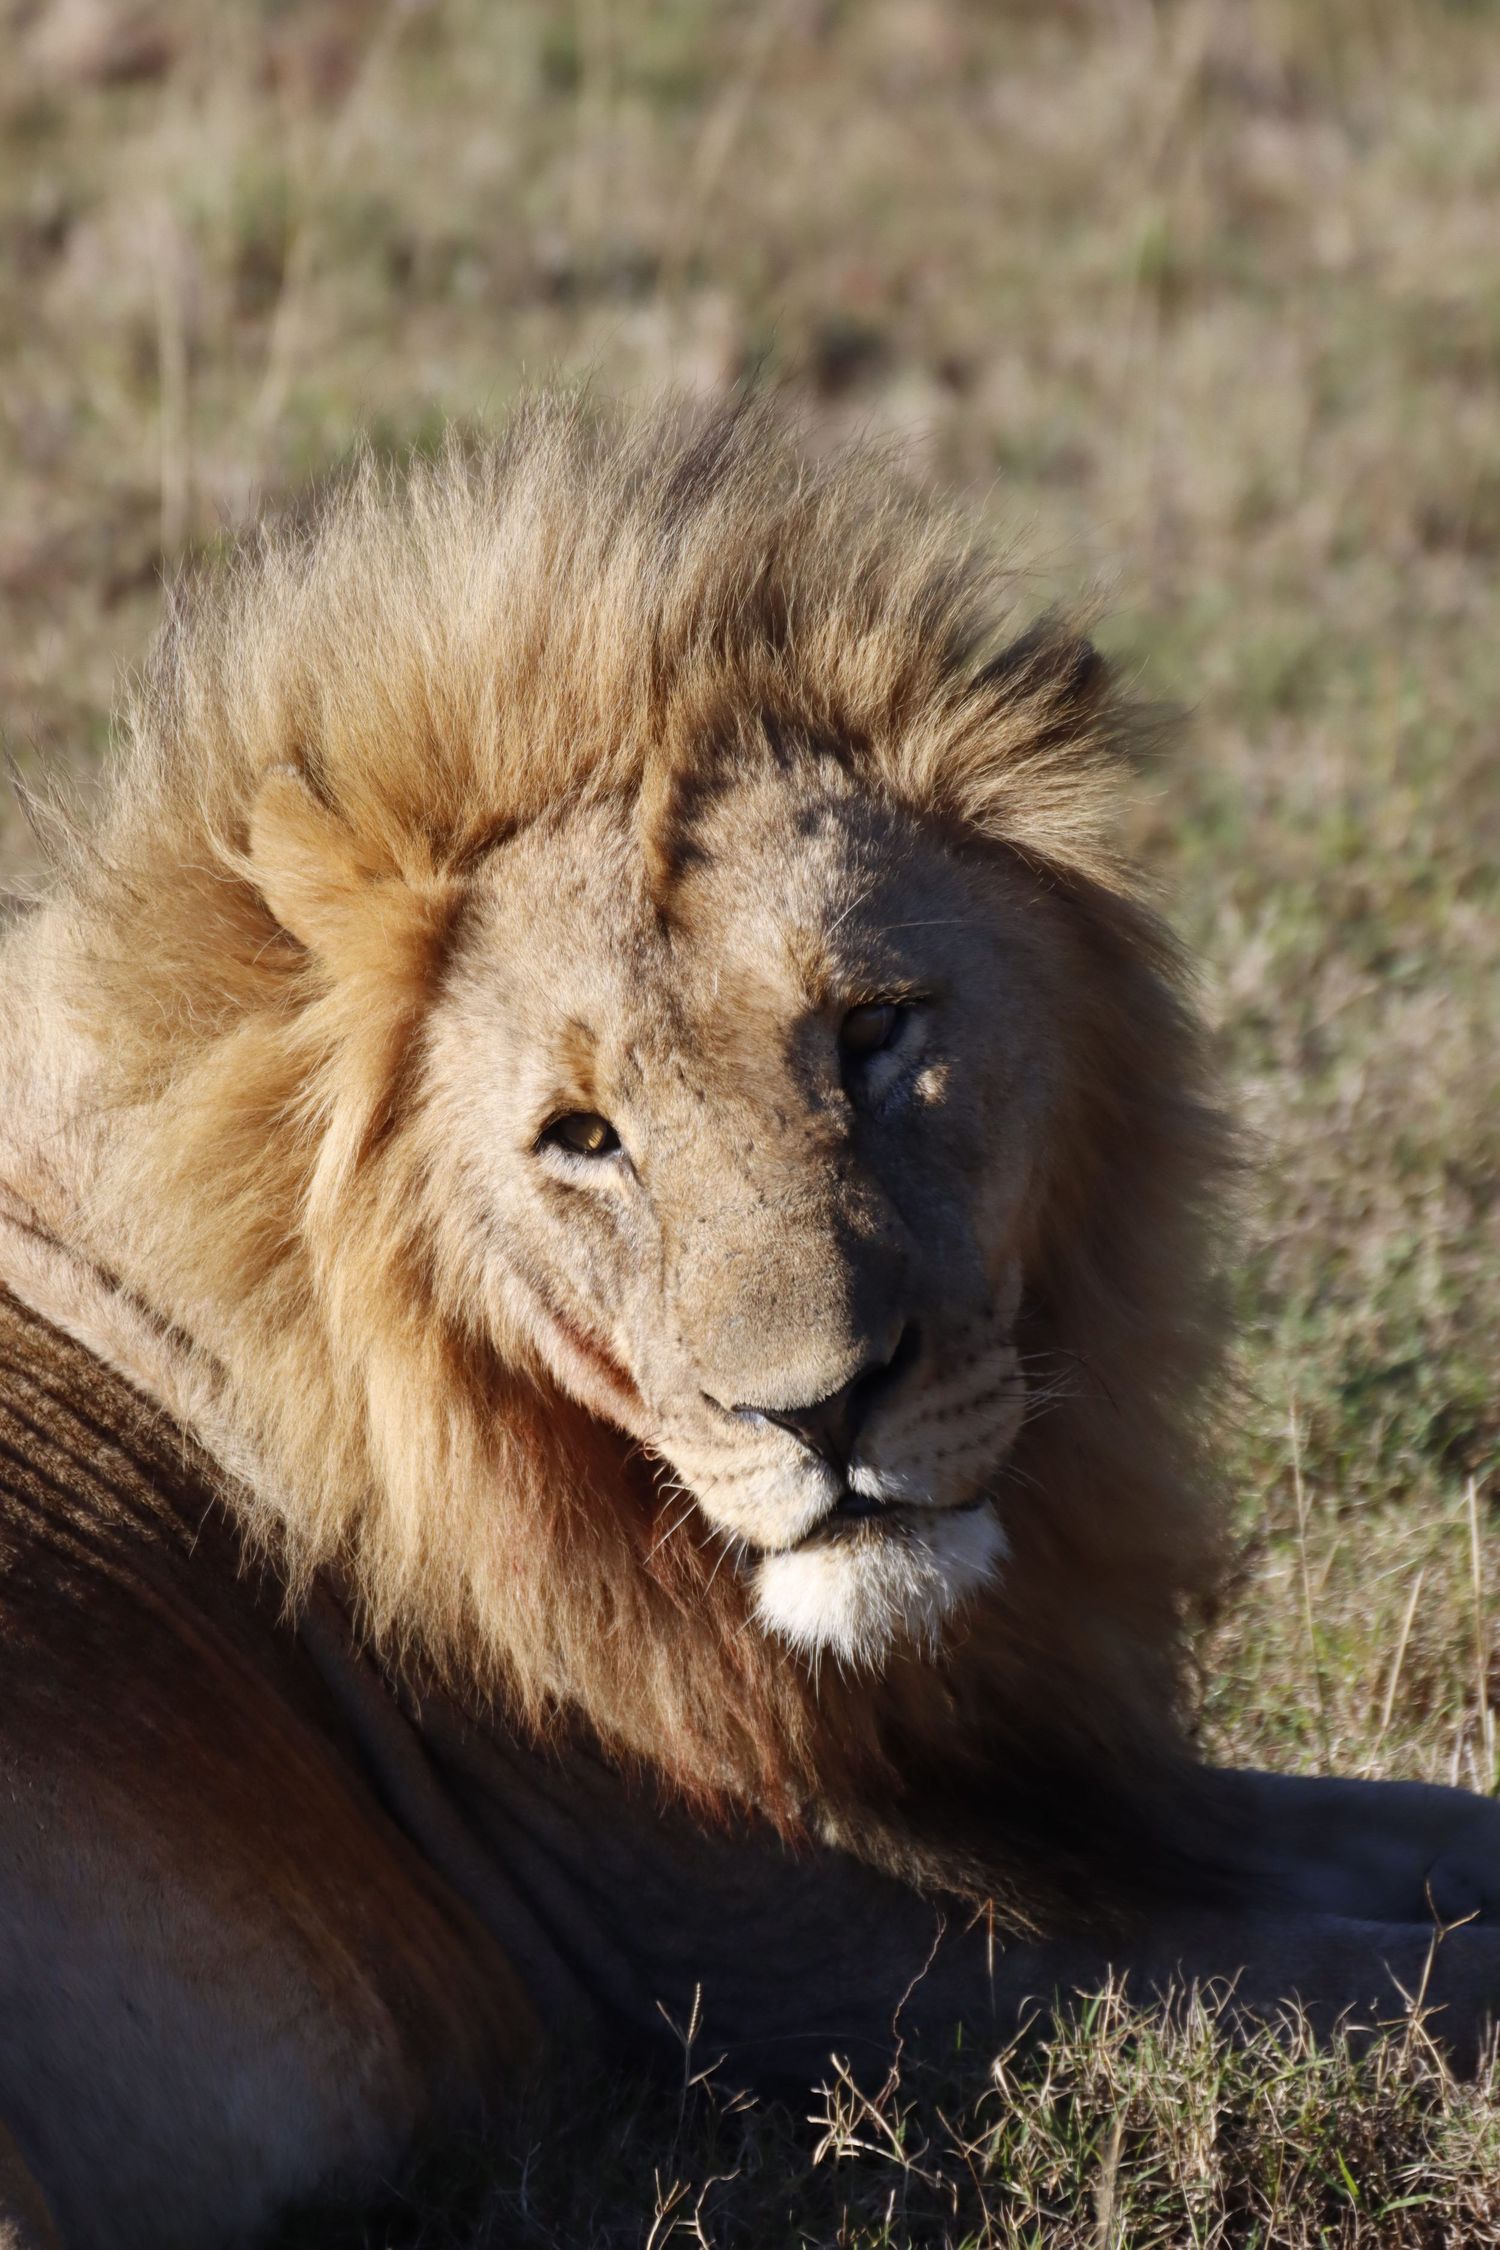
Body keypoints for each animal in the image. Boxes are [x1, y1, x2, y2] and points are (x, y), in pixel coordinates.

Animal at [0, 396, 1496, 2250]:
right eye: (583, 1137)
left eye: (871, 1030)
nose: (822, 1412)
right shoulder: (780, 1961)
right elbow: (1405, 1978)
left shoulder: (1053, 1793)